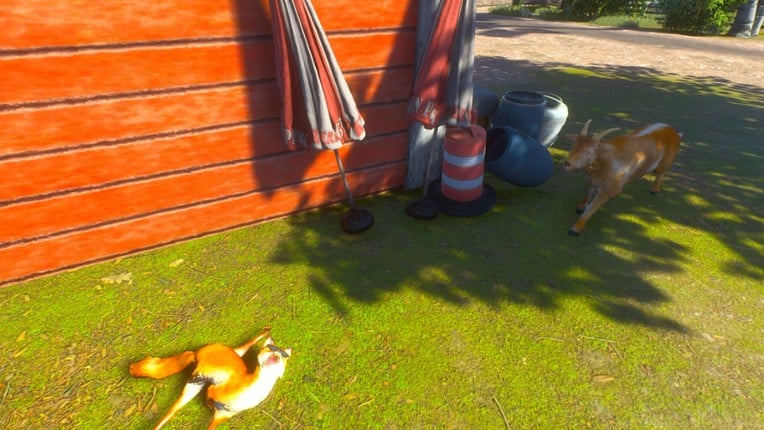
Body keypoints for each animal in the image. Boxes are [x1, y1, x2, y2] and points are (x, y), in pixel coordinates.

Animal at [129, 326, 291, 430]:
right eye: (271, 348)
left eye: (284, 355)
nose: (276, 354)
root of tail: (232, 351)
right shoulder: (210, 387)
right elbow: (208, 396)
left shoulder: (222, 416)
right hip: (197, 373)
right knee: (187, 355)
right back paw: (137, 369)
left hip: (194, 385)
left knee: (171, 412)